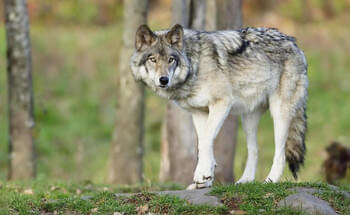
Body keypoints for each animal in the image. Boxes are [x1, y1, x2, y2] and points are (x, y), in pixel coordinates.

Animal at [130, 23, 308, 188]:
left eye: (171, 60)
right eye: (153, 59)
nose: (164, 80)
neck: (195, 65)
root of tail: (294, 42)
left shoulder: (222, 103)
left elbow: (205, 141)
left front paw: (202, 174)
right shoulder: (199, 112)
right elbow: (204, 143)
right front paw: (204, 180)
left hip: (279, 114)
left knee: (280, 153)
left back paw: (270, 181)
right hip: (248, 120)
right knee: (254, 150)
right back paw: (245, 181)